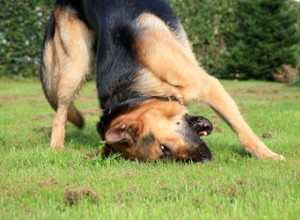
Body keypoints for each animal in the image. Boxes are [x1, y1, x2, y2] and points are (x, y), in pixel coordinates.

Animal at [39, 0, 284, 162]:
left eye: (164, 148)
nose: (204, 160)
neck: (141, 90)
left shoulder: (208, 85)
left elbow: (242, 131)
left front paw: (267, 155)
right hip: (74, 65)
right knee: (60, 112)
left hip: (76, 67)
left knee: (60, 110)